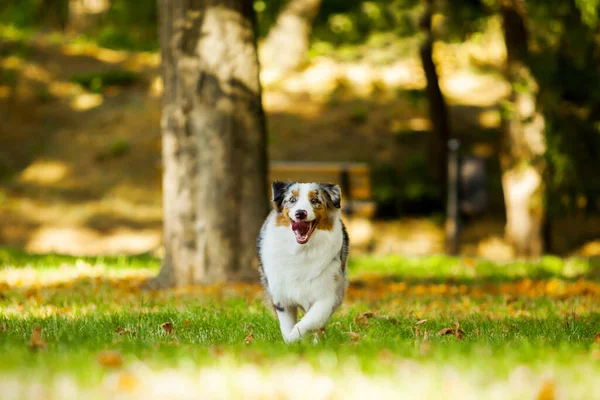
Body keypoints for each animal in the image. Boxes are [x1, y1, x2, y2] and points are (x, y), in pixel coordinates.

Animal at [255, 181, 350, 344]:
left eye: (315, 200)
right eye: (292, 200)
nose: (300, 213)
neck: (302, 250)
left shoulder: (328, 294)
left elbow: (309, 321)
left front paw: (298, 339)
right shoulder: (281, 298)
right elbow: (287, 328)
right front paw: (290, 343)